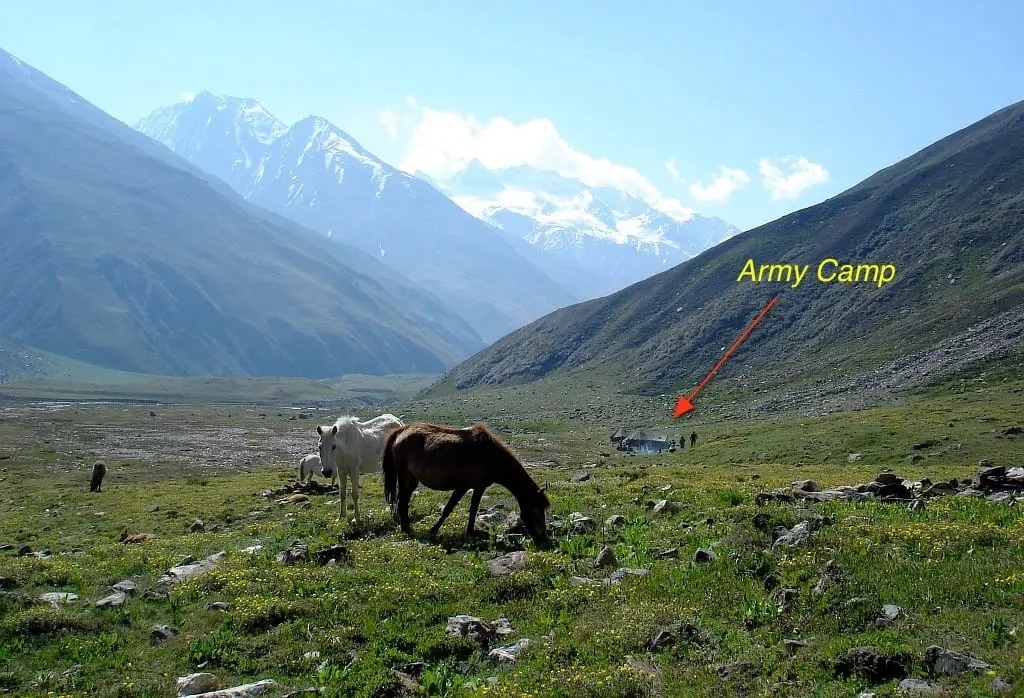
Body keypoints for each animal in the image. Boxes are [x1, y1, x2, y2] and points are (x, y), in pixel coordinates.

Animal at [382, 421, 551, 548]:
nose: (543, 538)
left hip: (413, 479)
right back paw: (406, 529)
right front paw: (433, 531)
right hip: (404, 476)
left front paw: (470, 532)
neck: (489, 455)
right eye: (536, 509)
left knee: (403, 500)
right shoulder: (463, 486)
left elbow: (473, 509)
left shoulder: (479, 486)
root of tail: (400, 431)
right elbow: (448, 509)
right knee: (402, 500)